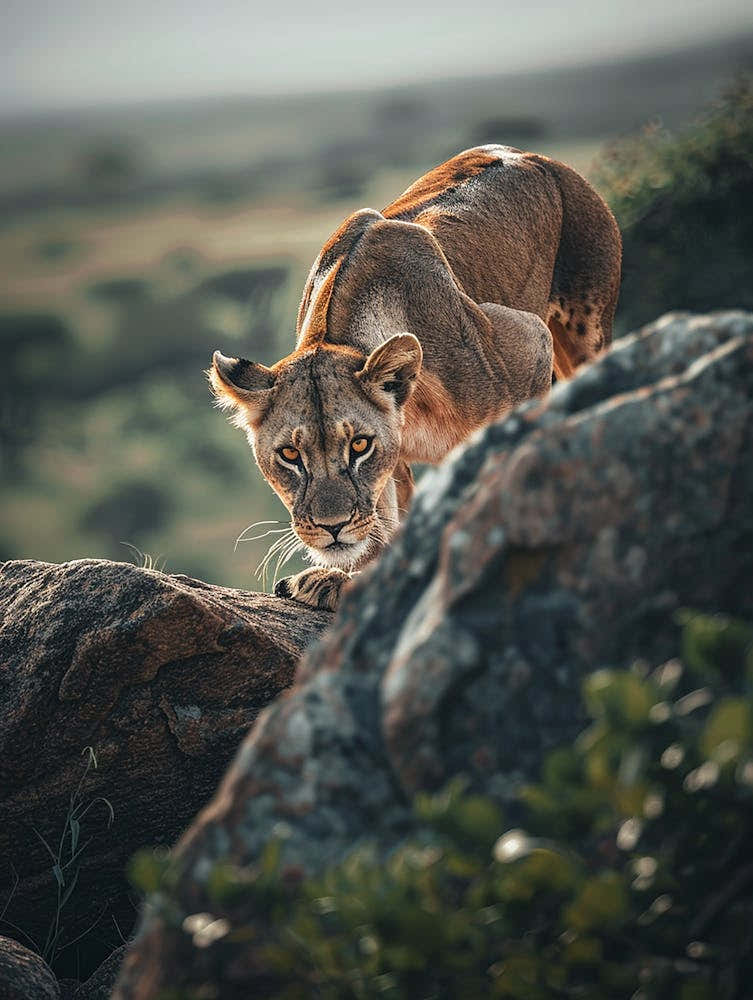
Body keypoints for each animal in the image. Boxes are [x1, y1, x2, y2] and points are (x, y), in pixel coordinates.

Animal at [209, 144, 621, 610]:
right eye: (290, 455)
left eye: (359, 445)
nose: (332, 528)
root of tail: (530, 154)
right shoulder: (393, 470)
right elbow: (386, 525)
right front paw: (346, 580)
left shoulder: (527, 340)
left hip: (585, 326)